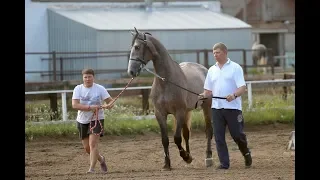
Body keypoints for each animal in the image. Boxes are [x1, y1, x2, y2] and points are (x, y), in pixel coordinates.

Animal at [127, 27, 212, 171]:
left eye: (137, 47)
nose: (131, 71)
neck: (166, 81)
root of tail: (204, 69)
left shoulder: (179, 112)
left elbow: (177, 138)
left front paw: (185, 157)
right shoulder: (160, 114)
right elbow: (165, 139)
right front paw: (167, 163)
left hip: (206, 107)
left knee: (208, 132)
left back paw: (208, 158)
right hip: (187, 111)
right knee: (186, 133)